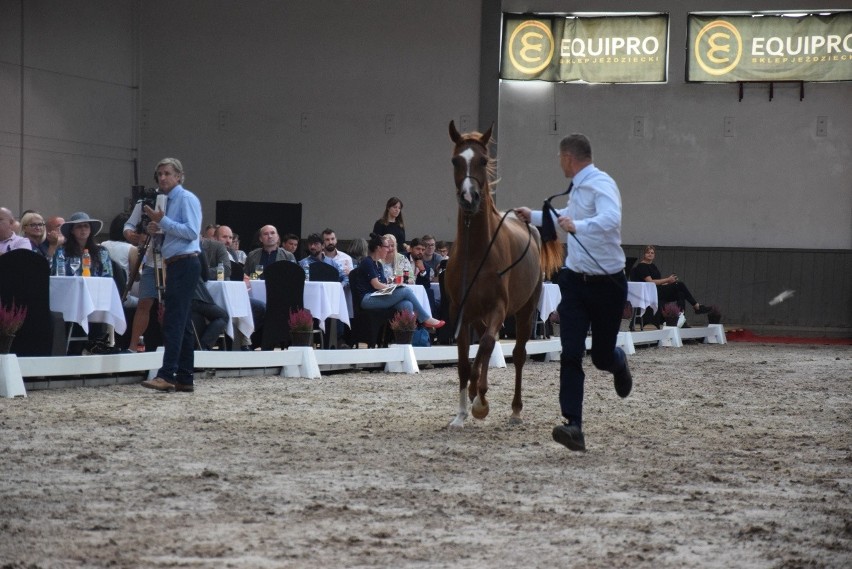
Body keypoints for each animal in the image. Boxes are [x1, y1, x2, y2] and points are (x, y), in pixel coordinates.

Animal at [446, 121, 564, 430]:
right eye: (455, 161)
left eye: (482, 160)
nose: (469, 198)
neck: (477, 253)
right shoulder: (460, 312)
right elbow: (464, 361)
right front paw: (461, 412)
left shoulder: (499, 307)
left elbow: (487, 346)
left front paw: (480, 402)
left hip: (525, 311)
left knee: (519, 354)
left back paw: (515, 410)